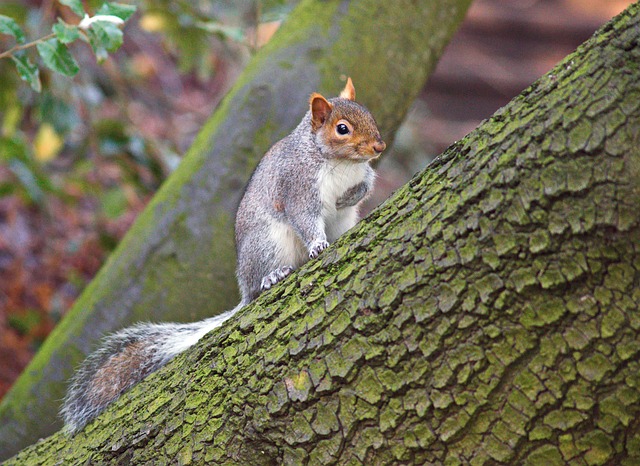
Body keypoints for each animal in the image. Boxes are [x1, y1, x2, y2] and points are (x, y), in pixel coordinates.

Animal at [61, 79, 384, 434]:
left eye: (370, 114)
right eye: (342, 129)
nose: (379, 147)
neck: (339, 163)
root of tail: (244, 287)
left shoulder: (362, 175)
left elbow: (365, 187)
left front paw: (349, 198)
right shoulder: (297, 186)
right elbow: (305, 218)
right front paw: (317, 244)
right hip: (267, 243)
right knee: (259, 284)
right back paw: (272, 277)